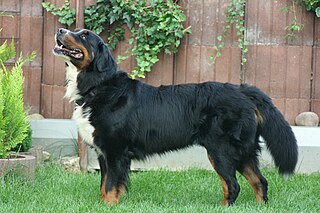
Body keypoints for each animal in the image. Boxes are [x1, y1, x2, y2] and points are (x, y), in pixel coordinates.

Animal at [52, 27, 298, 206]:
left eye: (84, 35)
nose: (60, 29)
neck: (100, 86)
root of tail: (242, 90)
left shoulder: (115, 152)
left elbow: (111, 186)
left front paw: (109, 206)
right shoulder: (104, 153)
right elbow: (104, 186)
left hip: (222, 151)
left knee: (233, 185)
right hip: (243, 151)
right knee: (260, 181)